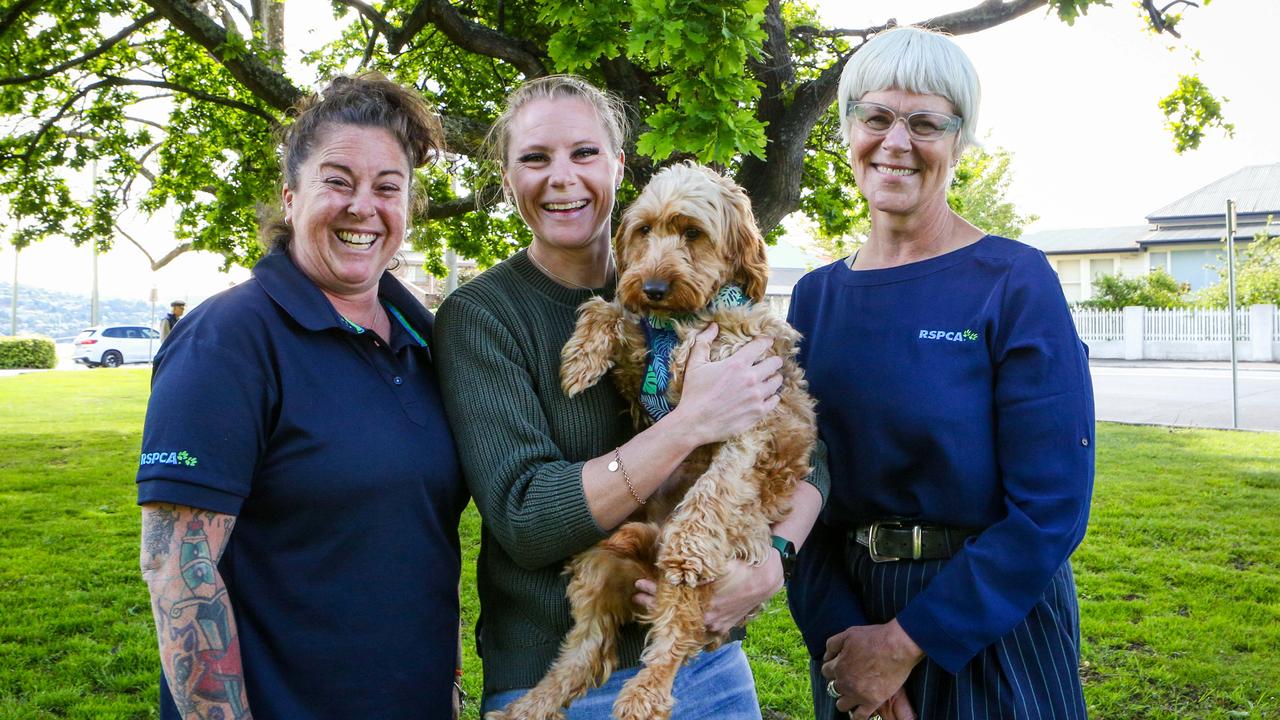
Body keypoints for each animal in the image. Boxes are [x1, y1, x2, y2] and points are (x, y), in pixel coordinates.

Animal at [483, 162, 814, 717]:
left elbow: (713, 492)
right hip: (597, 565)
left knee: (674, 635)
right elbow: (611, 311)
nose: (653, 287)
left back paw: (645, 692)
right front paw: (582, 357)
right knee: (585, 654)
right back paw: (528, 706)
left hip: (702, 579)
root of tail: (644, 552)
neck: (690, 318)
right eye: (643, 231)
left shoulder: (748, 415)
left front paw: (689, 542)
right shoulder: (647, 387)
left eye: (693, 233)